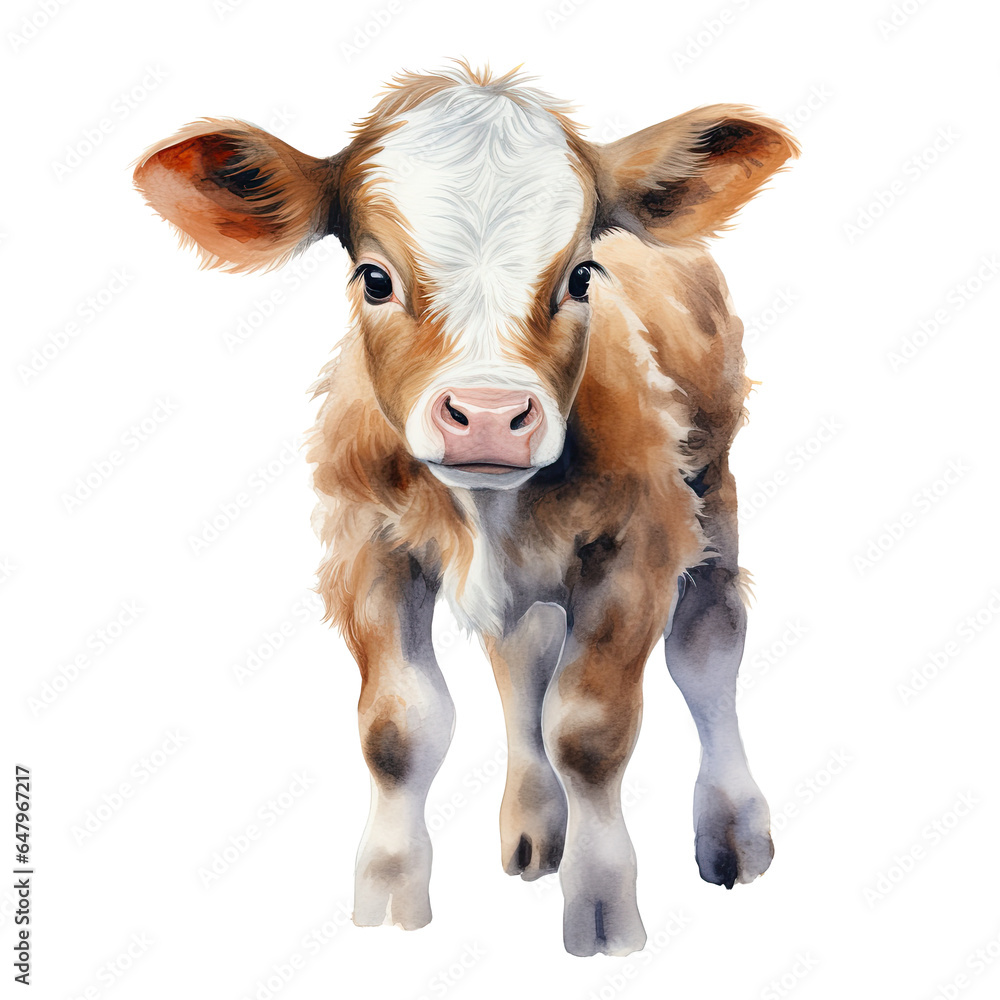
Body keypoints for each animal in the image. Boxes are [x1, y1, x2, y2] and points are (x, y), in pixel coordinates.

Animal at [133, 61, 798, 957]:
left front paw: (601, 910)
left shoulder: (639, 547)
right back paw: (533, 827)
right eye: (374, 278)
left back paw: (732, 827)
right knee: (522, 658)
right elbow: (400, 729)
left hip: (713, 484)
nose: (487, 414)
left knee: (708, 645)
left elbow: (590, 731)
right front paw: (387, 898)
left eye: (581, 275)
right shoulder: (366, 547)